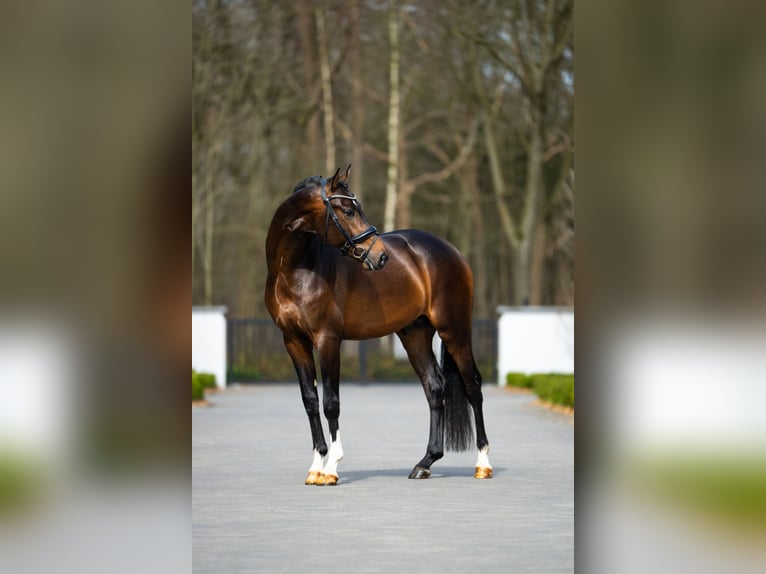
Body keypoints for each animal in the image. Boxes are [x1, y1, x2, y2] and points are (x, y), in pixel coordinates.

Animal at [264, 165, 492, 485]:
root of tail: (452, 252)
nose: (380, 256)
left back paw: (483, 464)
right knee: (435, 387)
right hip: (415, 334)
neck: (295, 269)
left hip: (454, 329)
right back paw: (425, 463)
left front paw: (331, 468)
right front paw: (316, 467)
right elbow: (310, 401)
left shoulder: (327, 339)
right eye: (348, 210)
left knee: (473, 386)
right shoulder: (294, 342)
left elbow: (331, 402)